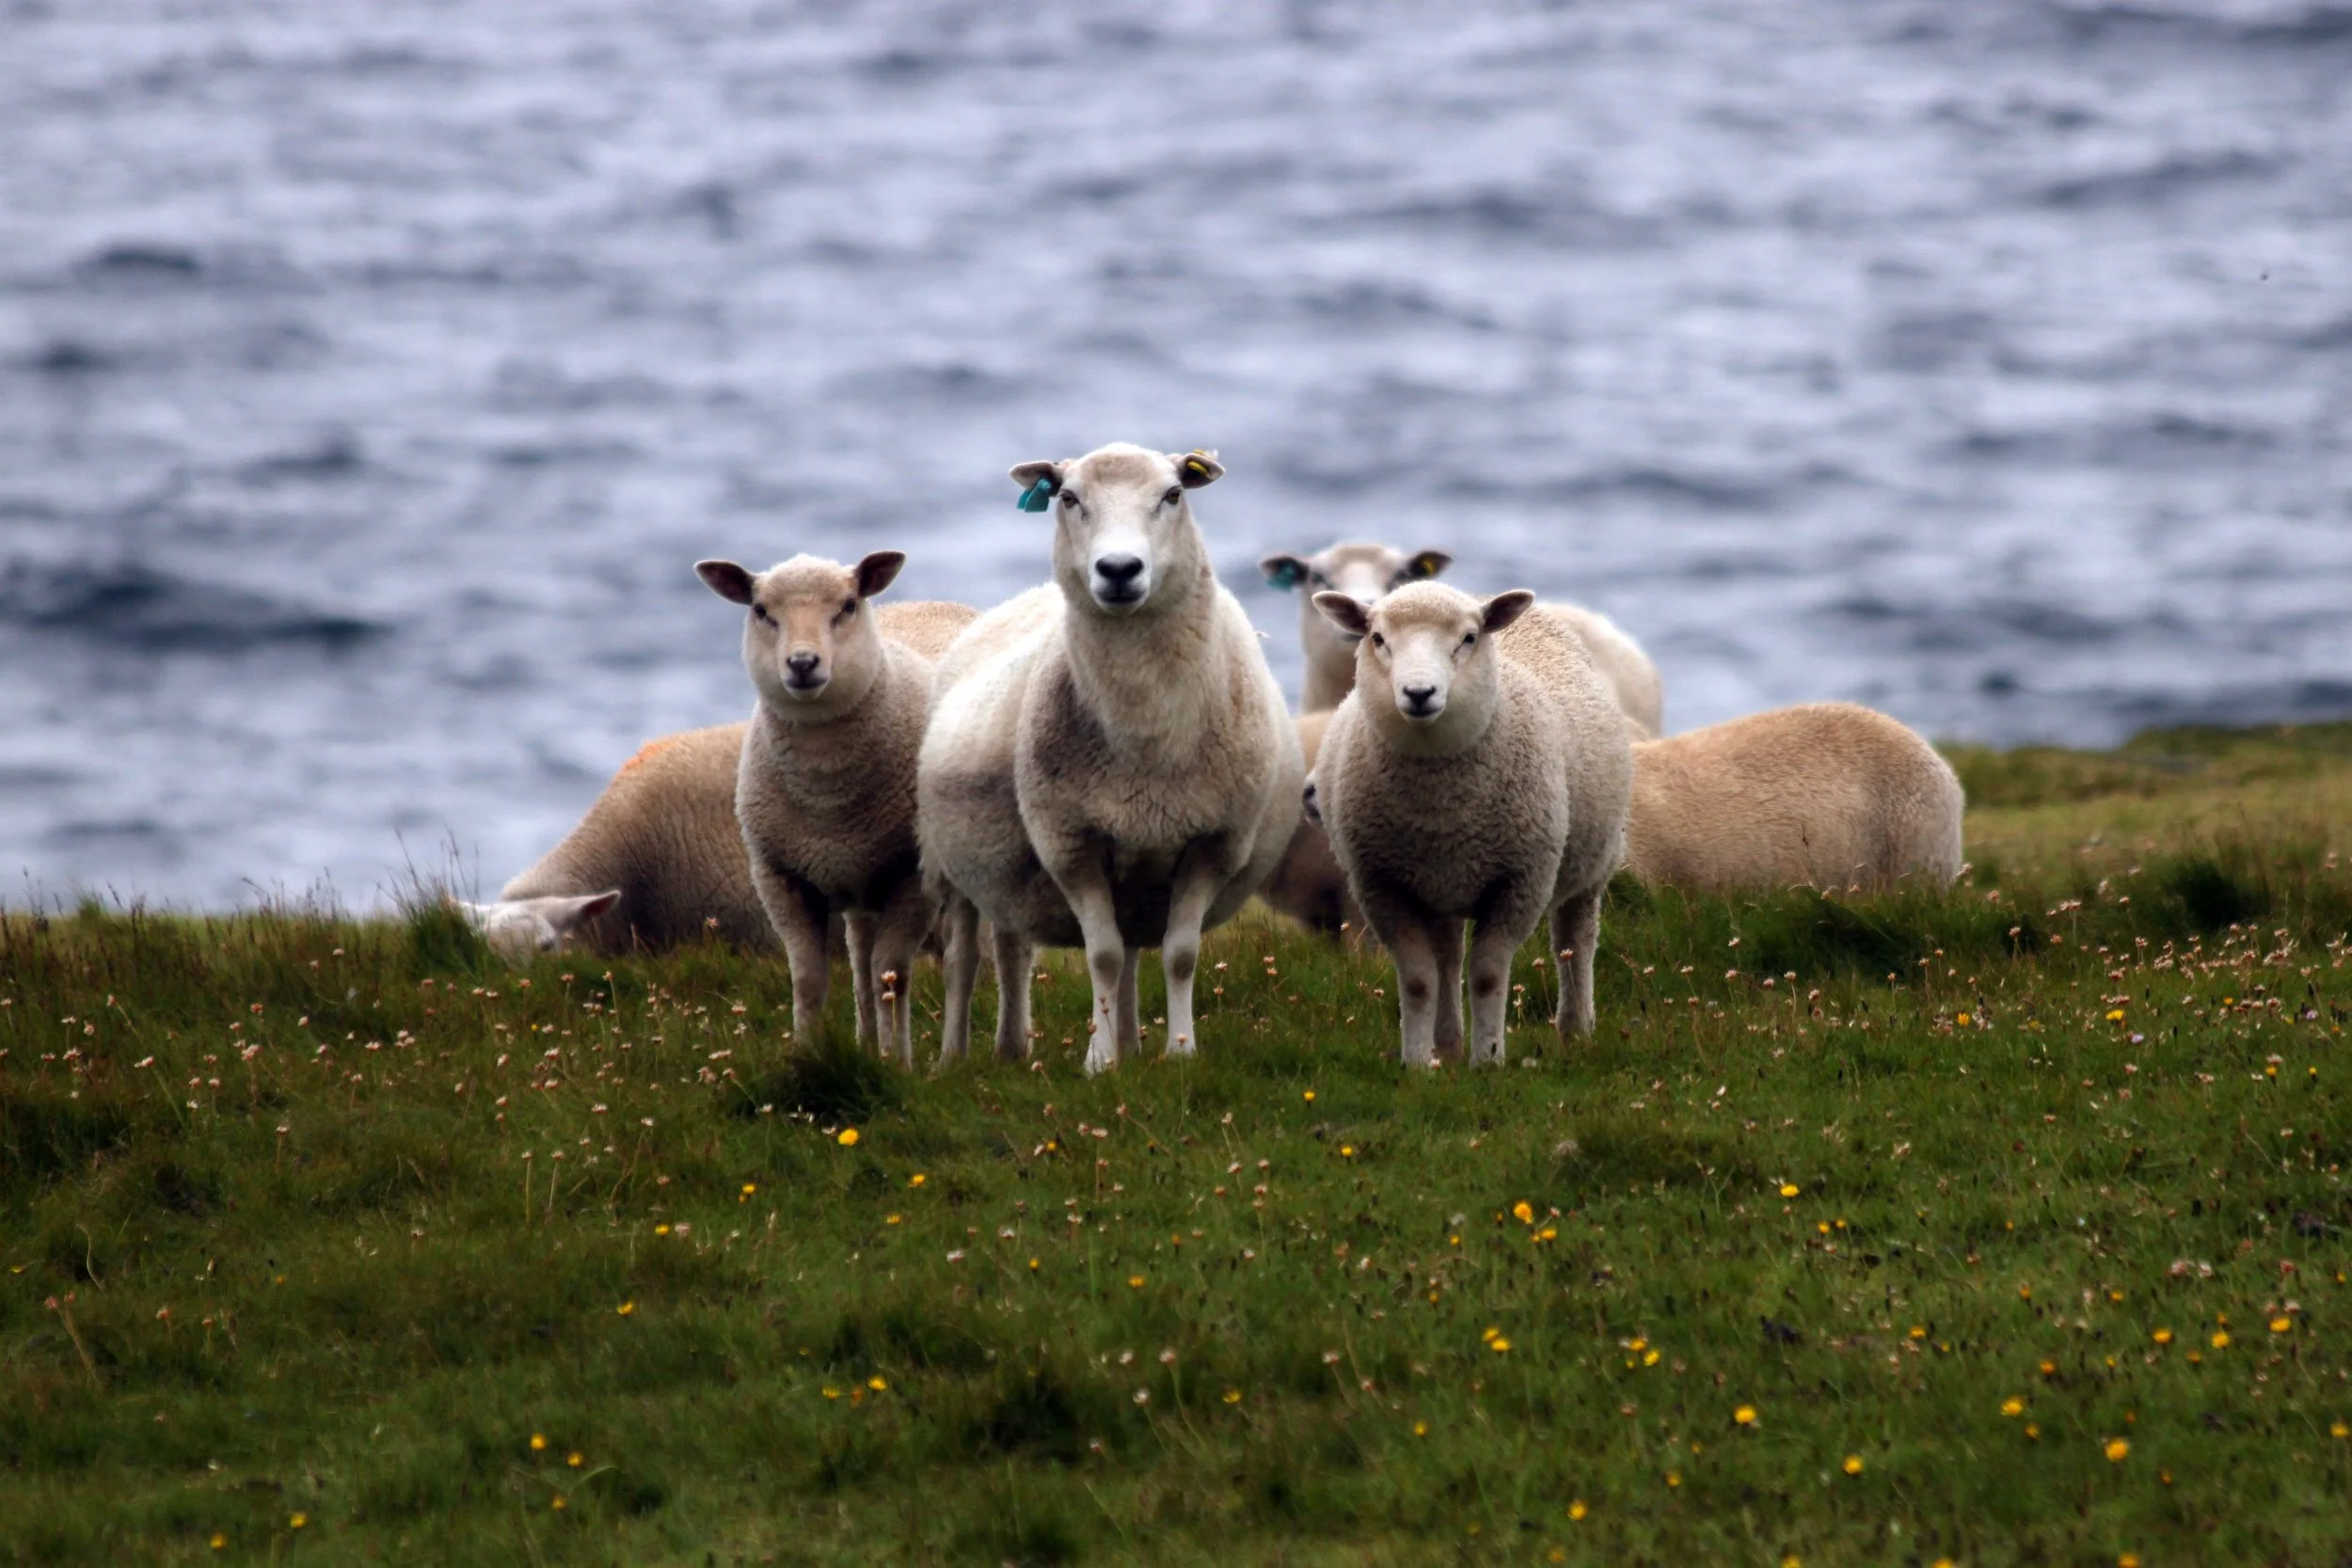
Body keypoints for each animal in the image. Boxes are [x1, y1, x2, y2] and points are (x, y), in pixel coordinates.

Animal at [697, 551, 976, 1064]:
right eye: (761, 610)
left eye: (847, 606)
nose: (803, 663)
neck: (826, 796)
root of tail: (939, 603)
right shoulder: (781, 877)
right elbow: (810, 978)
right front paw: (807, 1056)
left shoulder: (911, 878)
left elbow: (893, 974)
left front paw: (898, 1062)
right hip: (860, 884)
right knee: (861, 958)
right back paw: (868, 1040)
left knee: (967, 960)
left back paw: (957, 1054)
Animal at [919, 444, 1304, 1074]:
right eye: (1069, 497)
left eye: (1173, 494)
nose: (1119, 570)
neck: (1146, 731)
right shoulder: (1070, 843)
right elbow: (1101, 956)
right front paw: (1098, 1063)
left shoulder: (1211, 842)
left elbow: (1178, 955)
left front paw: (1178, 1053)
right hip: (950, 863)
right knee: (964, 958)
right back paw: (955, 1056)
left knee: (1020, 948)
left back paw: (1054, 1045)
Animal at [1311, 582, 1633, 1067]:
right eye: (1378, 638)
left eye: (1468, 638)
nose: (1419, 693)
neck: (1440, 806)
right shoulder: (1381, 886)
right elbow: (1419, 979)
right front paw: (1416, 1065)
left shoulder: (1521, 881)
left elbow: (1486, 975)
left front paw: (1488, 1061)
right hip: (1440, 885)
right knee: (1448, 957)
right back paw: (1447, 1044)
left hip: (1593, 863)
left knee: (1575, 941)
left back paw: (1576, 1028)